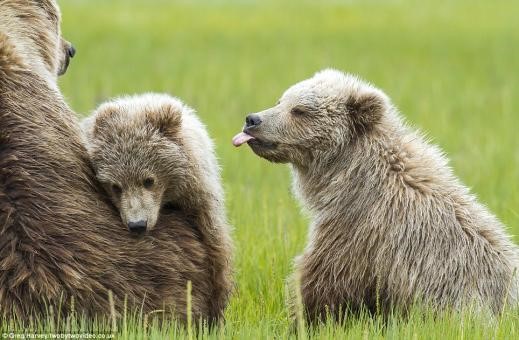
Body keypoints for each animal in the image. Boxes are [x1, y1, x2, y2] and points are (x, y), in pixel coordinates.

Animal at [235, 68, 519, 322]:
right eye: (280, 100)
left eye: (299, 110)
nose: (253, 119)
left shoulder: (361, 229)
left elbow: (323, 279)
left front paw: (302, 319)